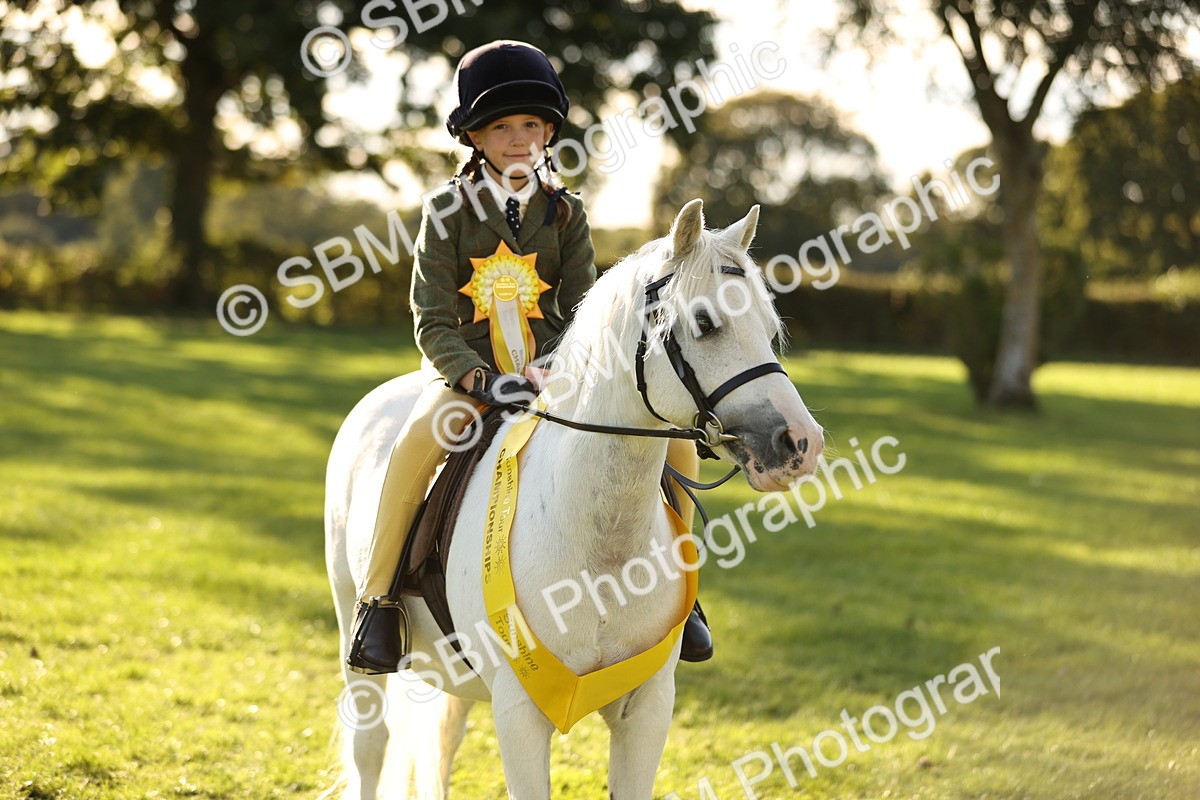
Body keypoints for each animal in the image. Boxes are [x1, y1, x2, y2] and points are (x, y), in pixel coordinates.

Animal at [324, 199, 825, 799]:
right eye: (705, 323)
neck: (603, 546)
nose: (800, 444)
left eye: (770, 329)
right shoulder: (519, 713)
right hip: (353, 629)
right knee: (369, 747)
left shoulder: (647, 711)